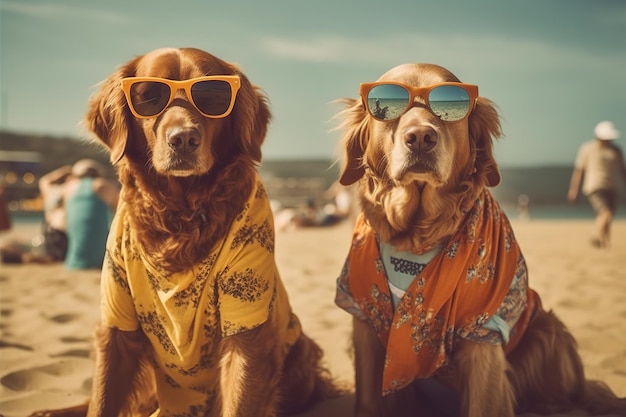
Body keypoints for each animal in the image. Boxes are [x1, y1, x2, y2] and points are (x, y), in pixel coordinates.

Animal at [29, 47, 338, 416]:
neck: (181, 217)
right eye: (148, 96)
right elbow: (102, 400)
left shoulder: (247, 333)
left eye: (213, 96)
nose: (184, 139)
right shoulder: (116, 321)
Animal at [334, 62, 620, 416]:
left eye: (449, 105)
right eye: (388, 104)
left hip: (547, 330)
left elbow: (484, 403)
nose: (421, 138)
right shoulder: (363, 317)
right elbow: (369, 401)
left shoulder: (483, 333)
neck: (416, 236)